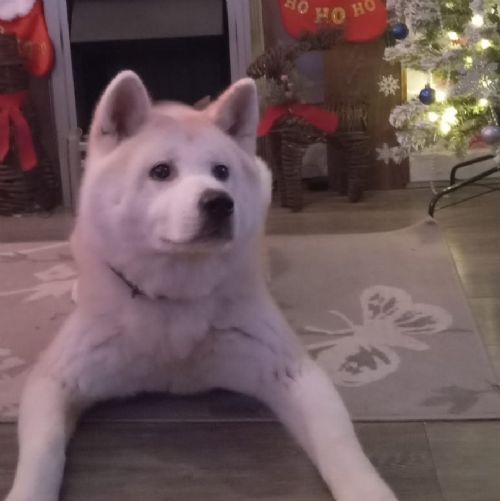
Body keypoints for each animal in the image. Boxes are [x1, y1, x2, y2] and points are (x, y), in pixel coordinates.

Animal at [4, 72, 398, 501]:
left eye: (221, 171)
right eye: (161, 171)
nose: (219, 203)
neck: (174, 298)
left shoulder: (291, 371)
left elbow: (340, 443)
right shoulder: (53, 381)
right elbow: (43, 451)